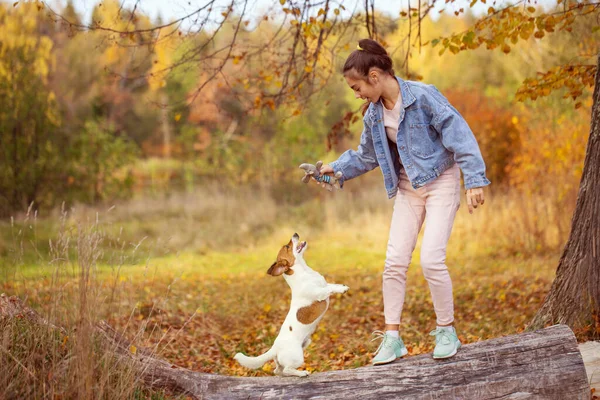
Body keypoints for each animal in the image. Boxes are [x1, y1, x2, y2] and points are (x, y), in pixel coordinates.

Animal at [233, 233, 350, 376]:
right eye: (287, 247)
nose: (295, 234)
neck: (305, 271)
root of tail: (275, 348)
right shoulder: (319, 293)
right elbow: (329, 289)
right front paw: (342, 289)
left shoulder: (324, 284)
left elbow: (331, 285)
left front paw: (341, 286)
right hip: (297, 357)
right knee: (287, 369)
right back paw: (302, 373)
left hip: (300, 347)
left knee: (278, 370)